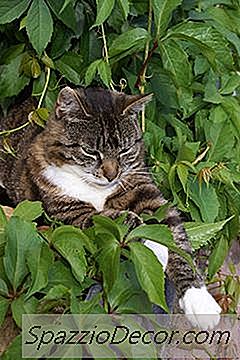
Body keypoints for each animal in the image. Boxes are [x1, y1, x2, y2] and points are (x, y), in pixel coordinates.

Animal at [0, 86, 221, 328]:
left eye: (124, 151)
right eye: (90, 151)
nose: (111, 175)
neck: (95, 188)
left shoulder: (148, 195)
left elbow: (178, 242)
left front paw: (200, 302)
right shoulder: (72, 216)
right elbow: (120, 218)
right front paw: (156, 250)